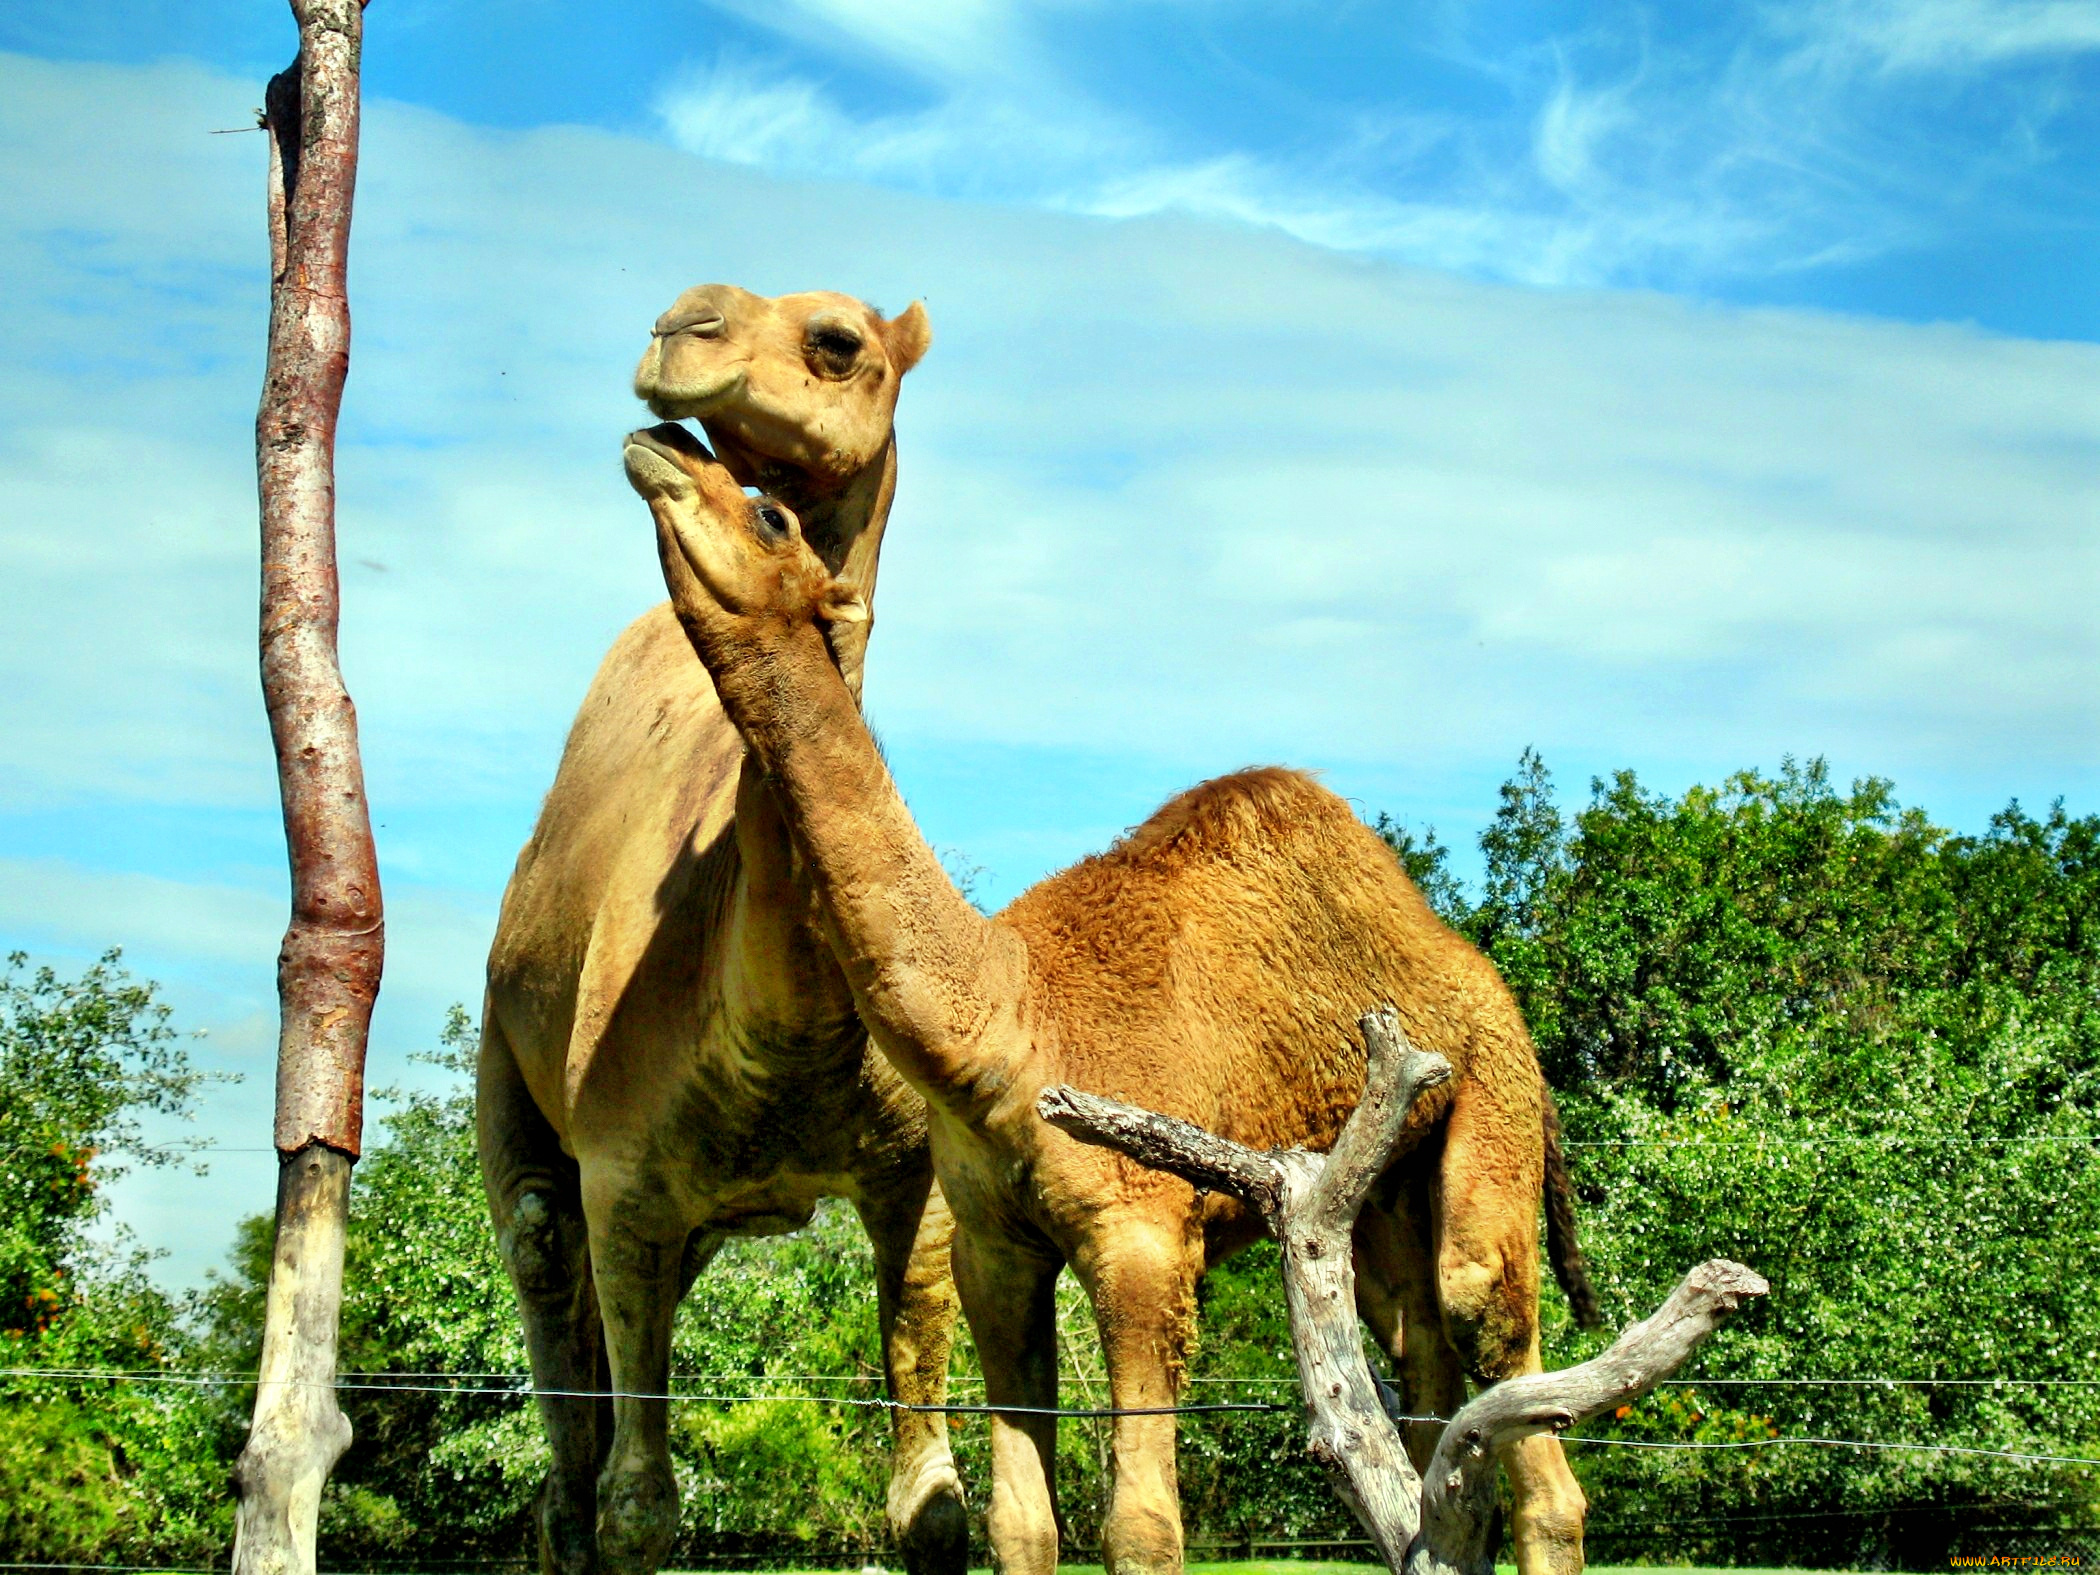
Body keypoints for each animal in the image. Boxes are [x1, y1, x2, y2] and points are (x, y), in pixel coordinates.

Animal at [474, 287, 961, 1575]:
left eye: (839, 343)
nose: (677, 329)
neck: (780, 1028)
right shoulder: (625, 1178)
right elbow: (639, 1509)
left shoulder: (916, 1178)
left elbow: (934, 1508)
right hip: (517, 1084)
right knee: (547, 1305)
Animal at [613, 426, 1595, 1575]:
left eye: (769, 513)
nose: (659, 444)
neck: (1007, 1027)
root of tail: (1489, 984)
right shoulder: (994, 1249)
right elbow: (1022, 1522)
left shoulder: (1145, 1243)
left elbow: (1142, 1522)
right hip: (1382, 1188)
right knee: (1429, 1390)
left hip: (1492, 1107)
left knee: (1504, 1370)